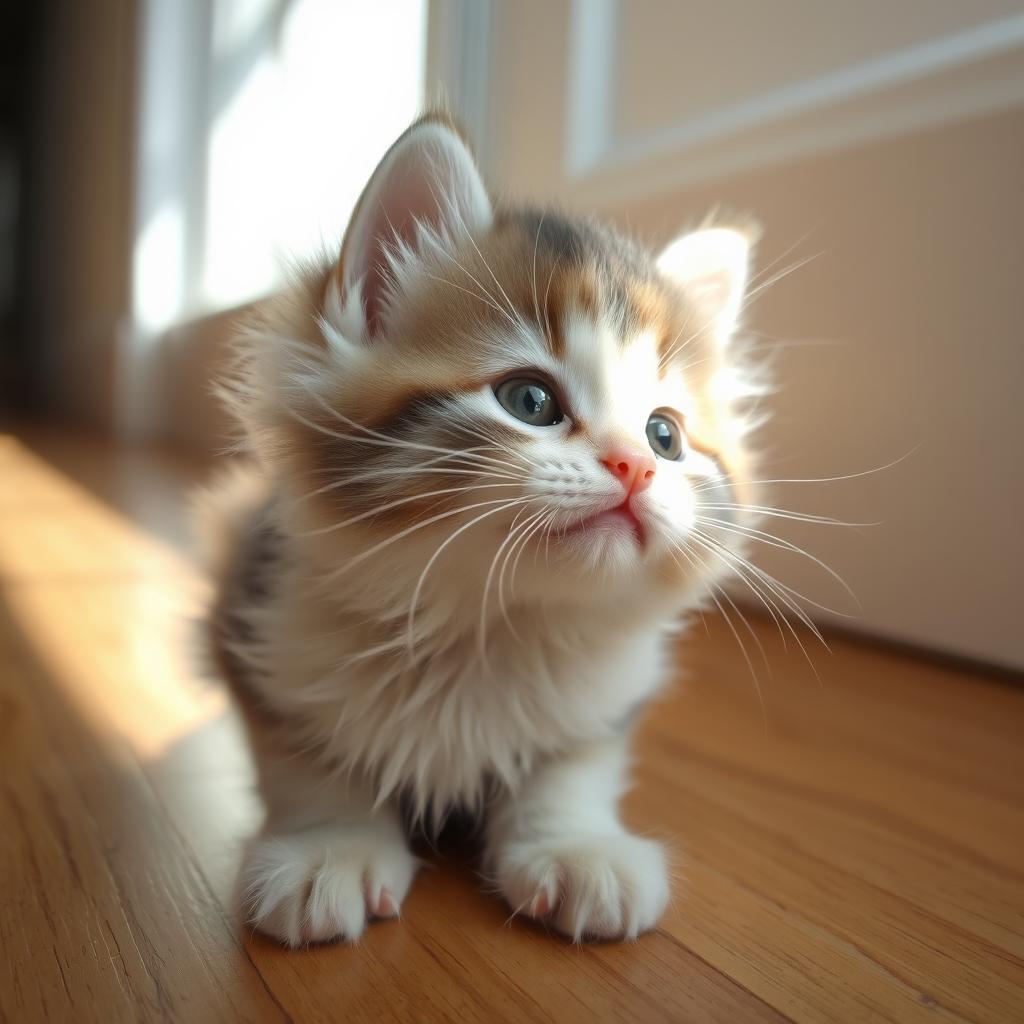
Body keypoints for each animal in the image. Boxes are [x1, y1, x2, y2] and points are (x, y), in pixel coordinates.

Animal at [199, 112, 761, 942]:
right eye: (529, 401)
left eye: (665, 436)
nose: (635, 466)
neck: (487, 625)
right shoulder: (258, 622)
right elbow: (306, 761)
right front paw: (328, 848)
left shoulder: (603, 704)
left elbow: (572, 767)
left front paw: (574, 847)